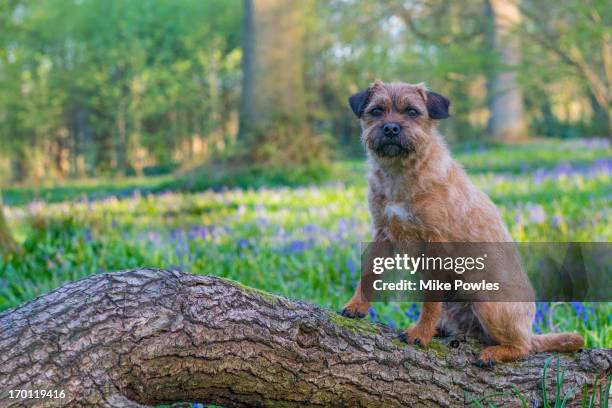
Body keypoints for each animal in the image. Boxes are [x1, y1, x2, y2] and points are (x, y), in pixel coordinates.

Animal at [342, 80, 580, 366]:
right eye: (376, 111)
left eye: (412, 112)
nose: (390, 128)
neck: (400, 173)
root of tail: (530, 330)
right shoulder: (382, 234)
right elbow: (368, 275)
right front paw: (356, 306)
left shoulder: (436, 245)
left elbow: (429, 302)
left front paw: (420, 334)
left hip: (486, 300)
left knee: (522, 347)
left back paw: (493, 352)